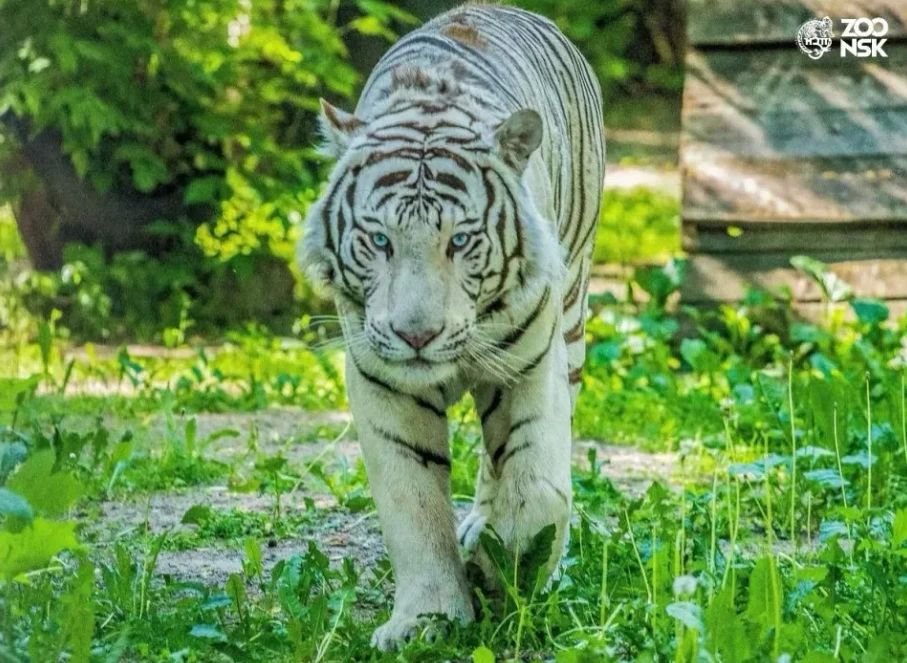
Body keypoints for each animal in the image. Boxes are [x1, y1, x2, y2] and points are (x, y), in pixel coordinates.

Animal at [300, 3, 604, 650]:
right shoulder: (381, 382)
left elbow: (535, 489)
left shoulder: (531, 363)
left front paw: (500, 572)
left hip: (571, 321)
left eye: (459, 241)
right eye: (380, 241)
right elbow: (412, 507)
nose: (417, 336)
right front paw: (426, 620)